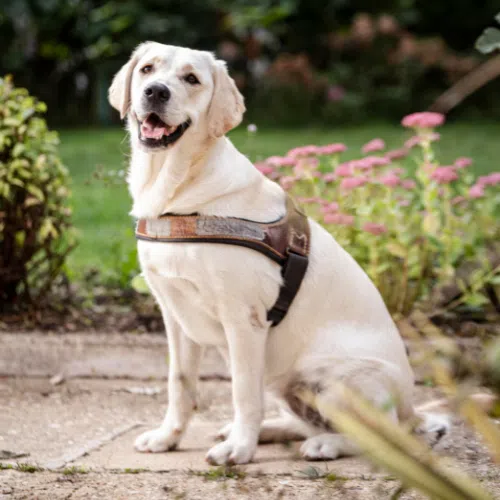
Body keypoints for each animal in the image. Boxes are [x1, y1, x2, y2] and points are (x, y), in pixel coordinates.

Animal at [108, 43, 446, 464]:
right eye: (147, 70)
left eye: (191, 79)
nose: (156, 91)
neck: (179, 193)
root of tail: (412, 411)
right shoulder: (175, 315)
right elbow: (180, 385)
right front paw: (168, 437)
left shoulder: (245, 321)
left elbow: (242, 393)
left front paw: (239, 449)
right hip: (286, 382)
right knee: (306, 420)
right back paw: (269, 431)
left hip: (336, 380)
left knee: (381, 438)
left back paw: (322, 444)